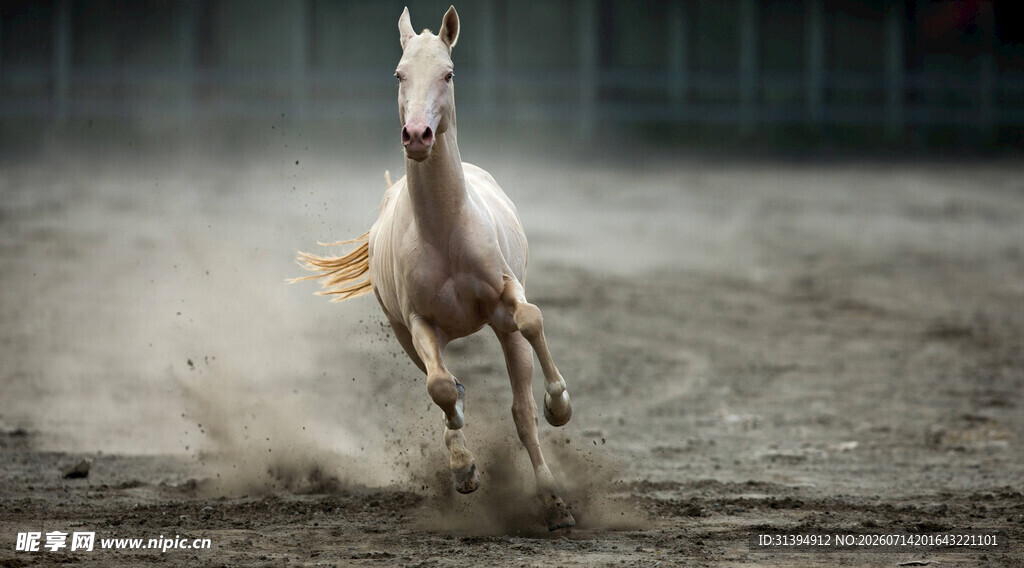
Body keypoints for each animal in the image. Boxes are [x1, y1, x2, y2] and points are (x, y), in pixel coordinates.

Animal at [293, 5, 575, 531]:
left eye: (448, 73)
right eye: (399, 74)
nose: (418, 136)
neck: (445, 231)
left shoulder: (506, 299)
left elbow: (531, 321)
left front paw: (560, 406)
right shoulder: (420, 322)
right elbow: (441, 387)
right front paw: (464, 466)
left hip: (501, 332)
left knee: (521, 412)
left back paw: (554, 502)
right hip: (409, 336)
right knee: (443, 383)